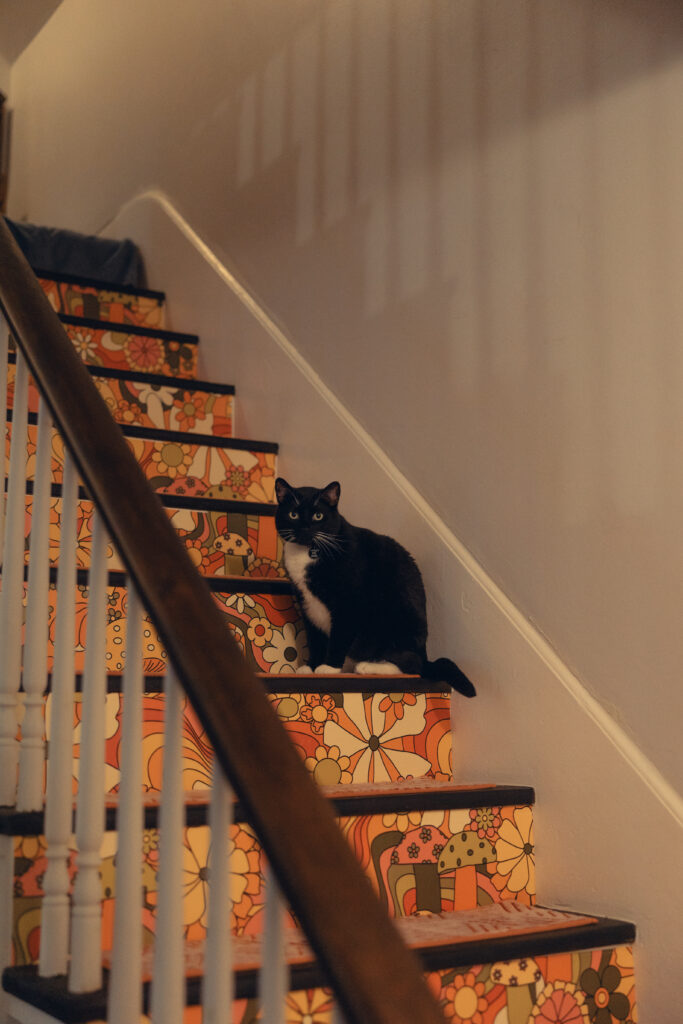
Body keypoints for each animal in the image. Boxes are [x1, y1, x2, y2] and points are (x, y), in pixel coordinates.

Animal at [272, 477, 475, 700]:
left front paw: (329, 668)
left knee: (412, 664)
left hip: (394, 623)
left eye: (318, 516)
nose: (305, 529)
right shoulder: (306, 603)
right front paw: (311, 667)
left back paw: (367, 666)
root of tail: (425, 652)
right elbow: (314, 637)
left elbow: (339, 636)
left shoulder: (348, 603)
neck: (307, 553)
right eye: (293, 514)